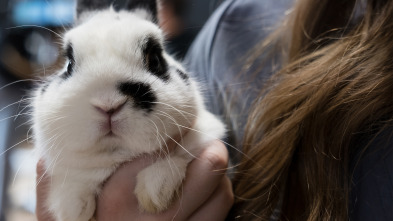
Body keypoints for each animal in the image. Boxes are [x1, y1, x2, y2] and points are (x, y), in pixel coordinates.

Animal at [31, 0, 225, 220]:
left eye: (154, 59)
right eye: (70, 64)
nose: (108, 104)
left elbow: (180, 154)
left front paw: (156, 191)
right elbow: (74, 184)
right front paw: (74, 208)